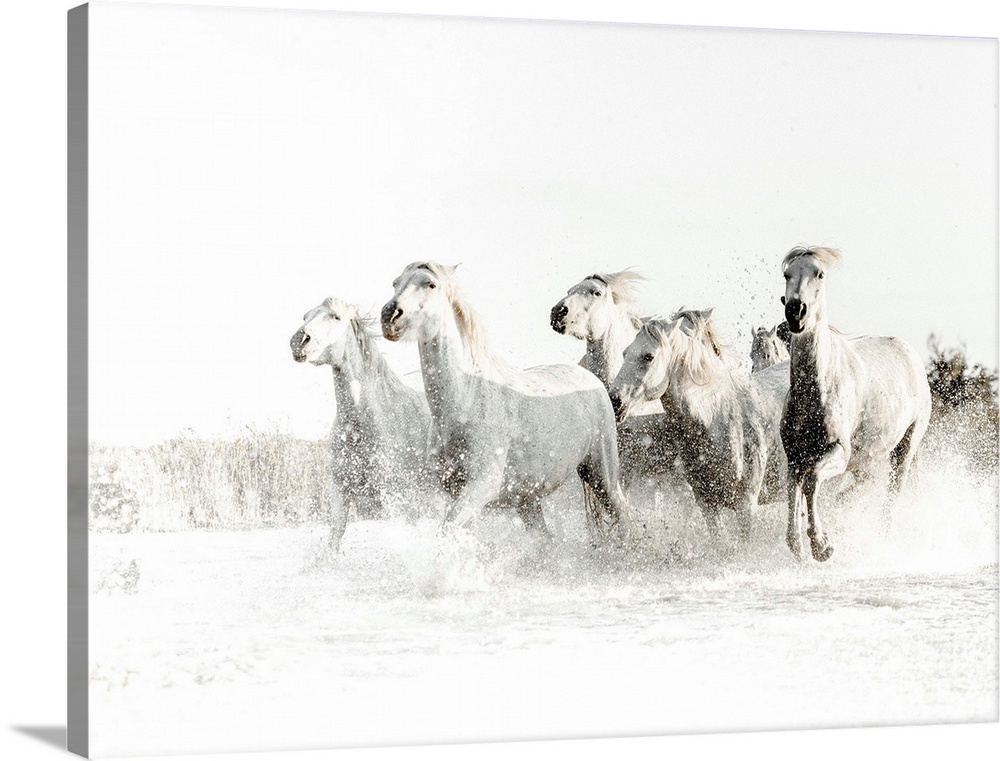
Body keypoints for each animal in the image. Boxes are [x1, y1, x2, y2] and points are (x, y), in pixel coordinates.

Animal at [288, 294, 432, 548]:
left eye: (336, 317)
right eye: (305, 316)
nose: (299, 340)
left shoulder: (398, 497)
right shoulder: (340, 491)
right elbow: (334, 539)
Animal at [378, 262, 628, 540]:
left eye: (431, 284)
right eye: (395, 283)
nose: (390, 315)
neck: (466, 397)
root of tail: (592, 380)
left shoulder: (481, 487)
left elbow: (446, 531)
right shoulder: (455, 493)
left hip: (602, 474)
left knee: (624, 514)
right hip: (529, 499)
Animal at [600, 306, 788, 544]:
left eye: (648, 356)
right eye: (625, 353)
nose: (614, 400)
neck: (720, 418)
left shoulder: (746, 507)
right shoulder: (707, 504)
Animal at [780, 246, 928, 560]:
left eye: (819, 274)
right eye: (787, 274)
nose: (796, 311)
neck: (815, 390)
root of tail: (909, 352)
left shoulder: (838, 451)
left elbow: (811, 482)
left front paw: (822, 546)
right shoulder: (795, 456)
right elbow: (793, 491)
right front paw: (798, 546)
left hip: (905, 447)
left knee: (892, 496)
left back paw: (882, 538)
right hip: (867, 457)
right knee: (863, 485)